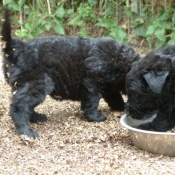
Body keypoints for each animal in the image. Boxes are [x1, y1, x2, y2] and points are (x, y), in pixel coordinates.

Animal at [1, 7, 140, 137]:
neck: (120, 61)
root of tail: (19, 49)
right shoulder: (92, 83)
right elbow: (92, 101)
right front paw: (95, 117)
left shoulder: (110, 87)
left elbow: (116, 99)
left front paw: (123, 107)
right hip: (38, 83)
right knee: (19, 106)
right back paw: (27, 132)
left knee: (25, 105)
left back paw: (37, 118)